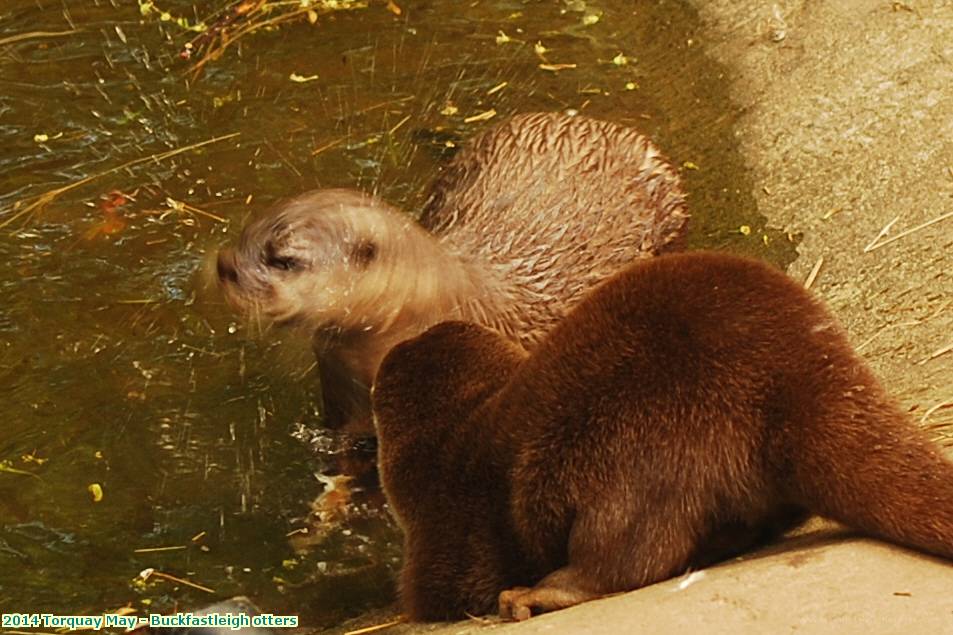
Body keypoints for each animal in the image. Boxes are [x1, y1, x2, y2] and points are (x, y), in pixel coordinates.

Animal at [372, 252, 952, 620]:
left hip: (642, 446)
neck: (452, 432)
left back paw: (535, 595)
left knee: (626, 556)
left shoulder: (441, 538)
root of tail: (800, 375)